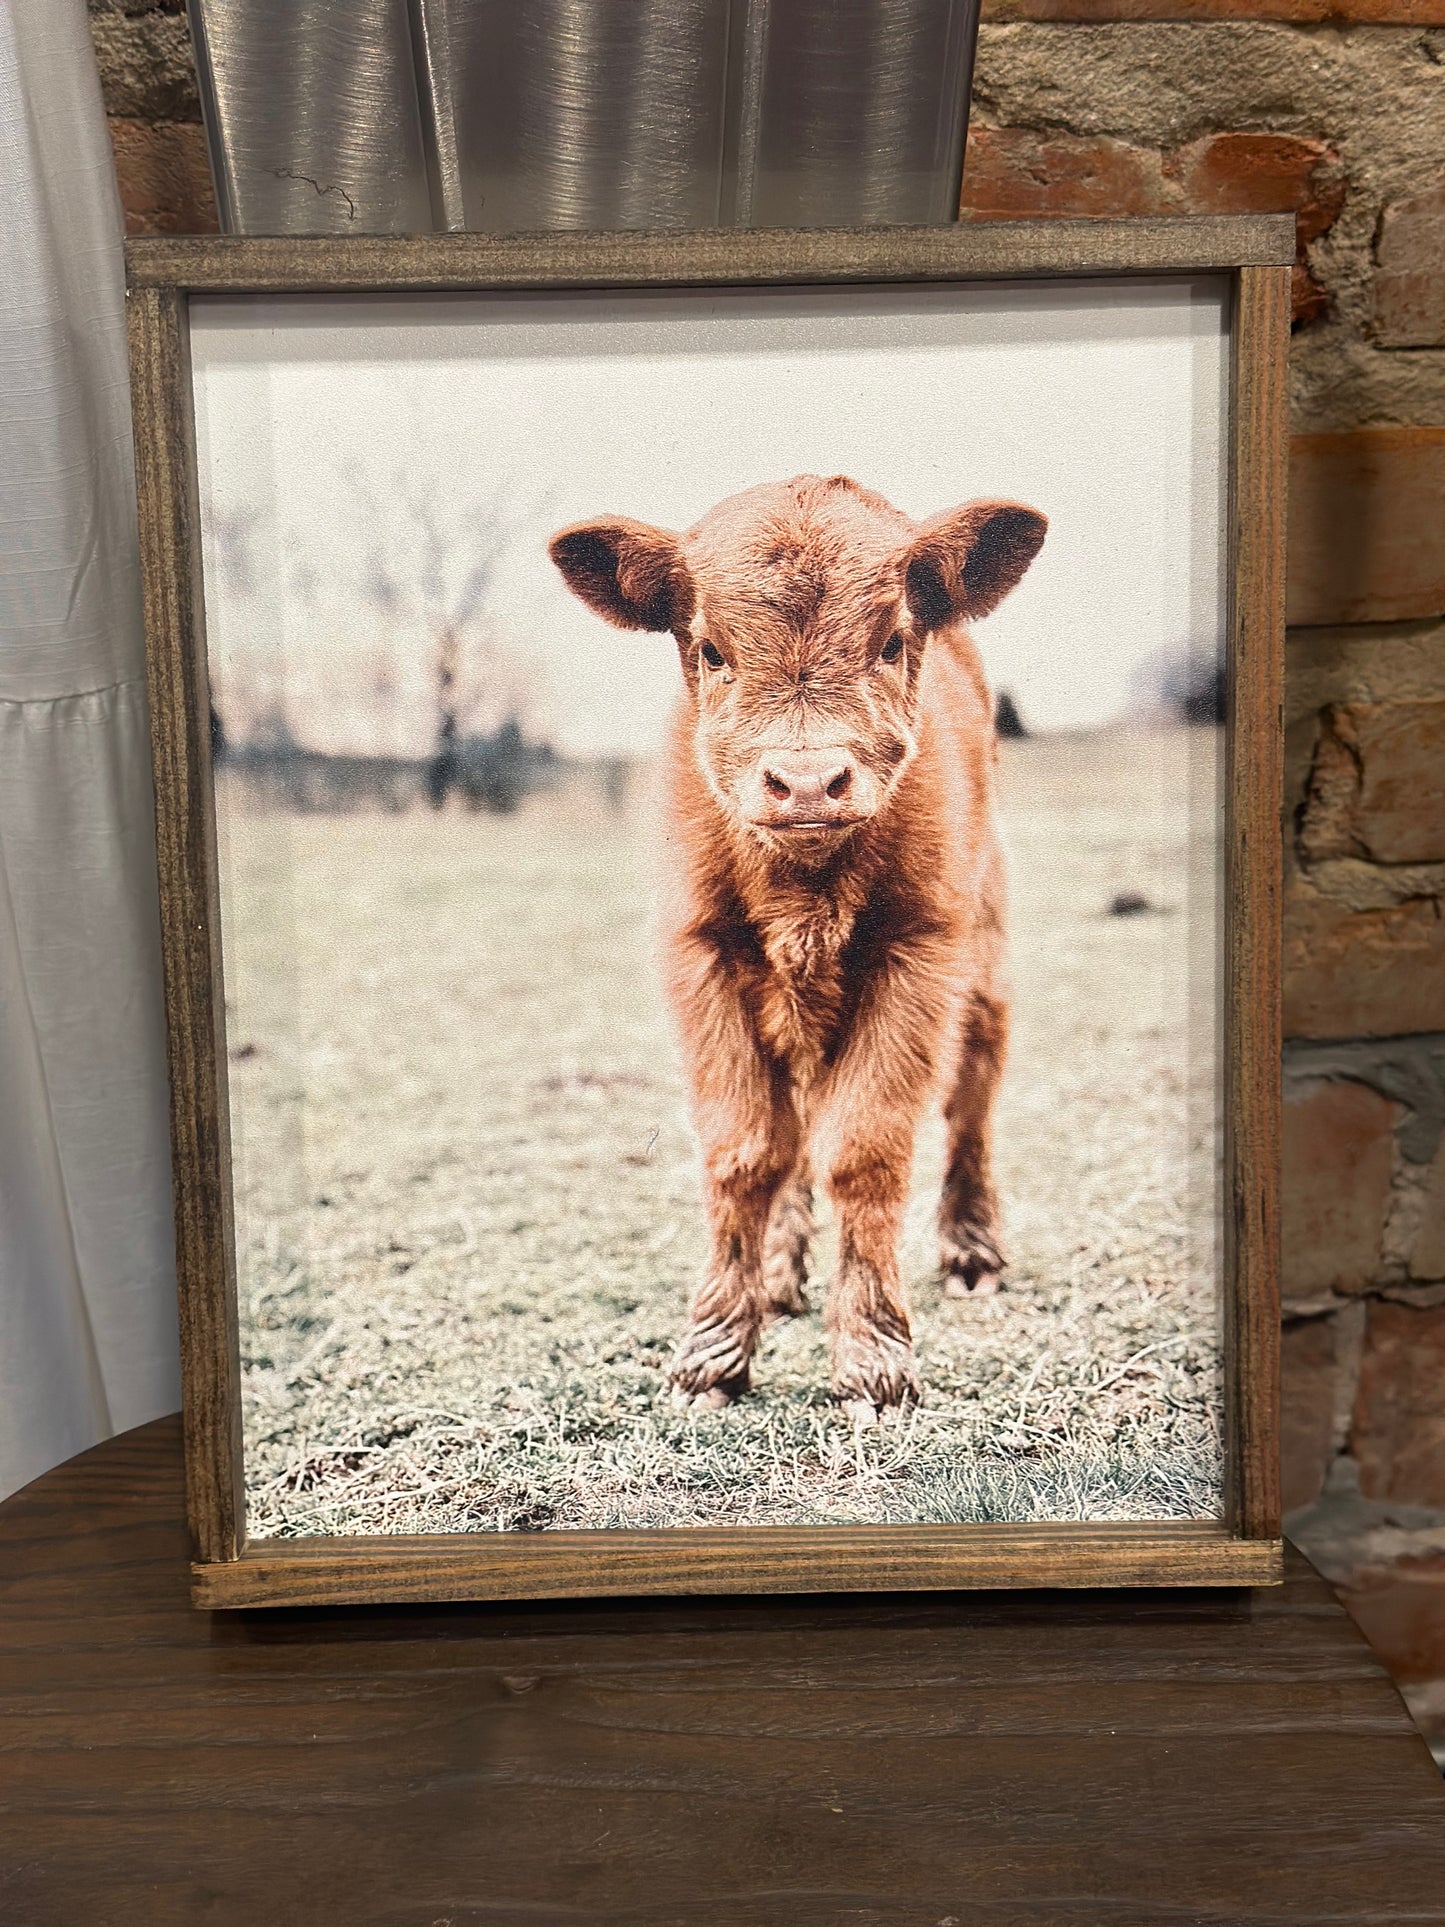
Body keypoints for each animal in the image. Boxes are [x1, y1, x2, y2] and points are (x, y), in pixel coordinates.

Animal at [549, 475, 1046, 1421]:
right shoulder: (699, 955)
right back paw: (778, 1275)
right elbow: (745, 1150)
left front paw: (874, 1361)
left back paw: (970, 1250)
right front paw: (710, 1354)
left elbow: (864, 1149)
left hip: (988, 969)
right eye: (711, 649)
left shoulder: (916, 955)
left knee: (969, 1106)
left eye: (890, 641)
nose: (808, 782)